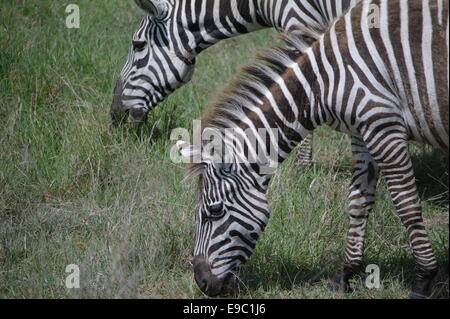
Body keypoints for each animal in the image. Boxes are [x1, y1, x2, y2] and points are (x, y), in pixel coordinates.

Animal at [178, 0, 448, 298]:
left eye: (214, 211)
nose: (202, 283)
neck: (322, 83)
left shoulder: (383, 124)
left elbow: (407, 204)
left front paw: (423, 279)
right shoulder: (365, 130)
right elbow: (358, 200)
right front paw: (345, 274)